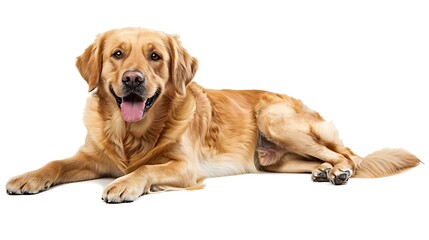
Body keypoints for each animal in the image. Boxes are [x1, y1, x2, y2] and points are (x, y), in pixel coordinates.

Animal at [4, 26, 418, 202]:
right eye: (117, 54)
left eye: (155, 56)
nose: (133, 80)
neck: (132, 134)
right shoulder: (91, 158)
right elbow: (56, 163)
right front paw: (27, 178)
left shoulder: (185, 166)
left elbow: (147, 170)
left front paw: (126, 184)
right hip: (274, 161)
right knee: (320, 160)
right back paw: (323, 172)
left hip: (277, 120)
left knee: (349, 155)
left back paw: (340, 171)